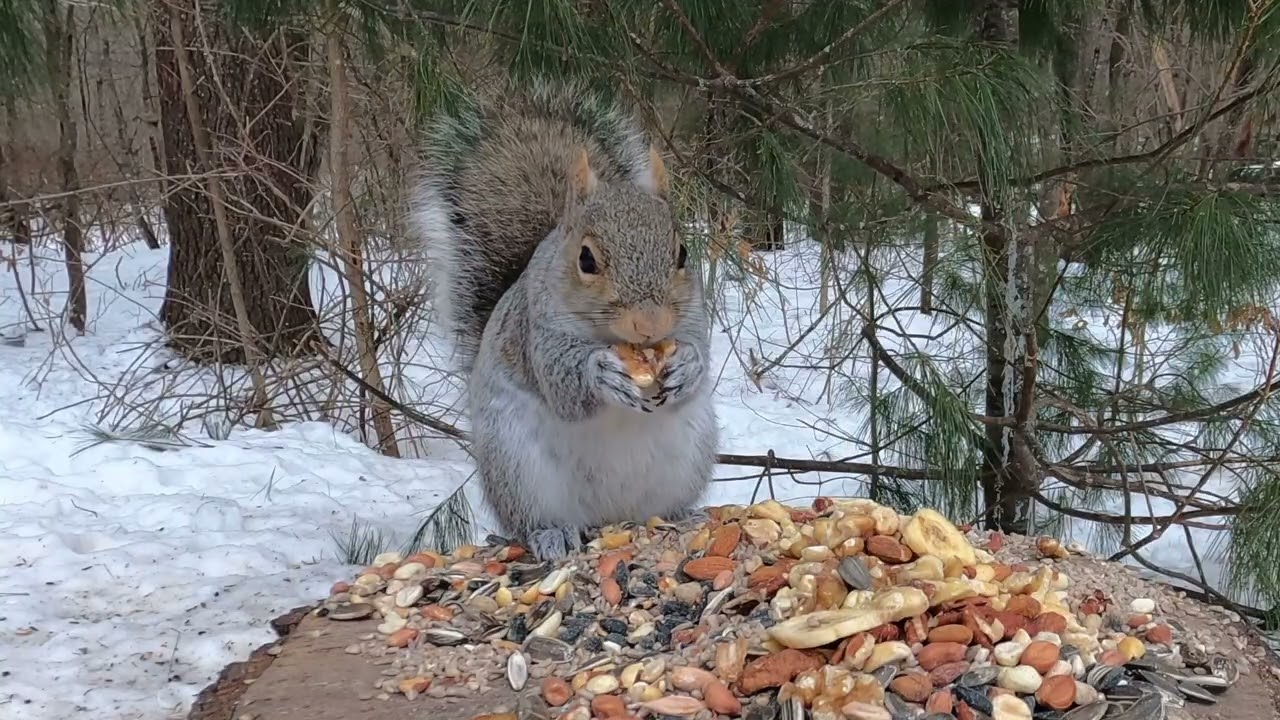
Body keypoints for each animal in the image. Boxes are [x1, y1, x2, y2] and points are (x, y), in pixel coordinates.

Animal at [409, 79, 719, 561]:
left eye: (683, 253)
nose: (649, 324)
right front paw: (600, 372)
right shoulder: (534, 330)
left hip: (689, 455)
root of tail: (610, 516)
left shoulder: (693, 318)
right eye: (586, 259)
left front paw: (687, 366)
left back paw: (683, 516)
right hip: (518, 467)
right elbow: (562, 383)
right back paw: (550, 533)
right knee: (533, 519)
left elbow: (700, 352)